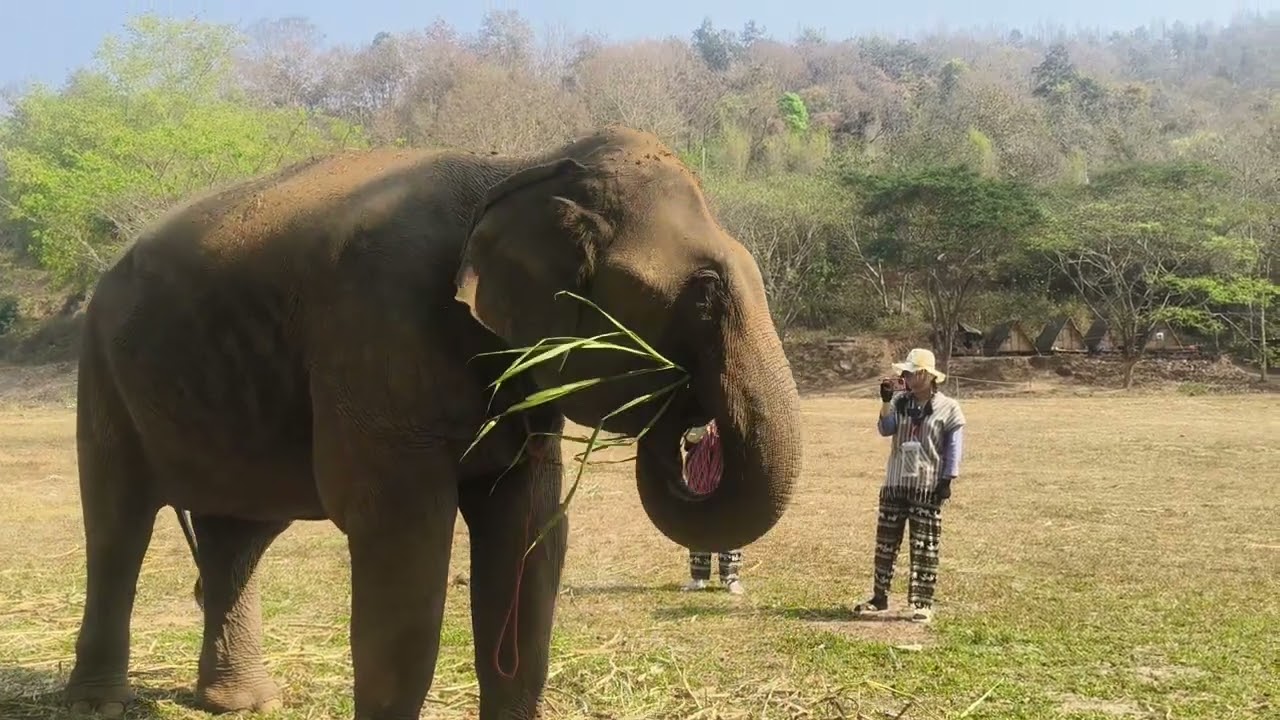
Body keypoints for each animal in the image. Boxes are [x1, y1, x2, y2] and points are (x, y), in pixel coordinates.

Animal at [63, 125, 803, 720]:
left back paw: (243, 701)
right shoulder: (378, 331)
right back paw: (101, 701)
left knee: (236, 536)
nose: (692, 420)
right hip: (99, 370)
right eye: (704, 294)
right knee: (117, 525)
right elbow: (405, 541)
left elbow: (530, 534)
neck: (524, 165)